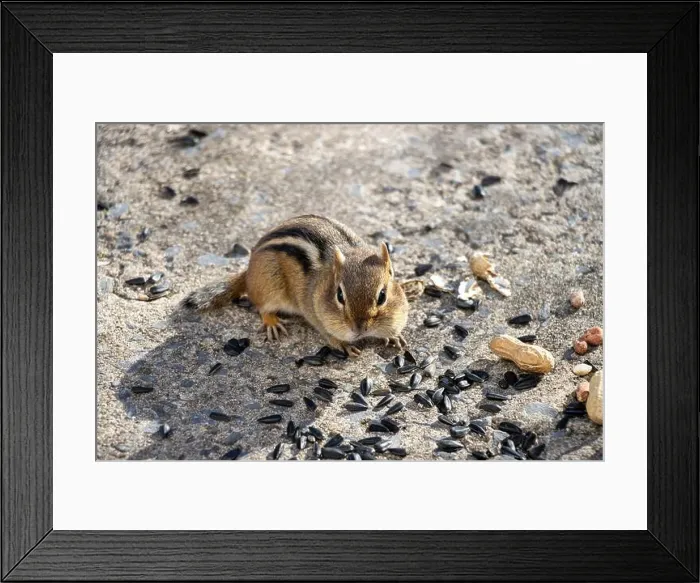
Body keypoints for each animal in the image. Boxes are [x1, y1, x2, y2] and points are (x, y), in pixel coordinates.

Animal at [182, 214, 408, 356]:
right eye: (339, 296)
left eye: (382, 296)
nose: (359, 329)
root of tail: (248, 272)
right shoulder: (314, 312)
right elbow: (327, 333)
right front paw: (344, 345)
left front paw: (395, 337)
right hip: (270, 287)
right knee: (262, 307)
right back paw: (272, 322)